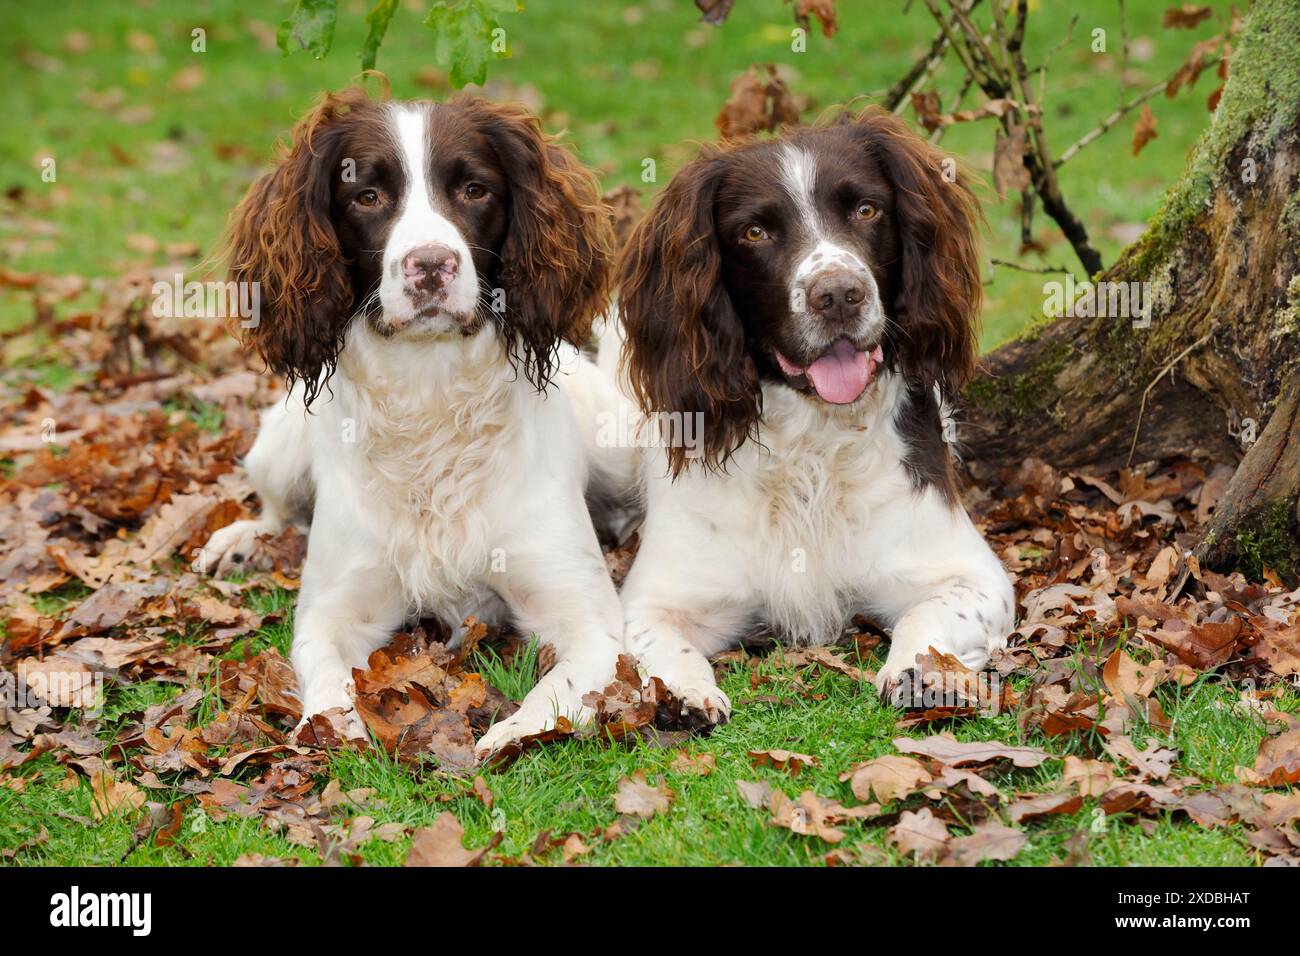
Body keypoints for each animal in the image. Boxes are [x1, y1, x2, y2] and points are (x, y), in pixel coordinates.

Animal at [193, 91, 634, 764]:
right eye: (367, 196)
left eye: (475, 189)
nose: (431, 265)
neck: (430, 395)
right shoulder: (333, 613)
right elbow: (329, 680)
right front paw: (334, 729)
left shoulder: (587, 616)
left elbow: (560, 688)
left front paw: (511, 733)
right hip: (281, 447)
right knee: (275, 510)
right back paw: (239, 541)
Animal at [608, 108, 1013, 723]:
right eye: (755, 232)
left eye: (867, 209)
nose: (840, 294)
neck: (813, 441)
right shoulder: (653, 597)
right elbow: (659, 644)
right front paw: (681, 693)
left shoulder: (972, 574)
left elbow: (930, 615)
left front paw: (919, 670)